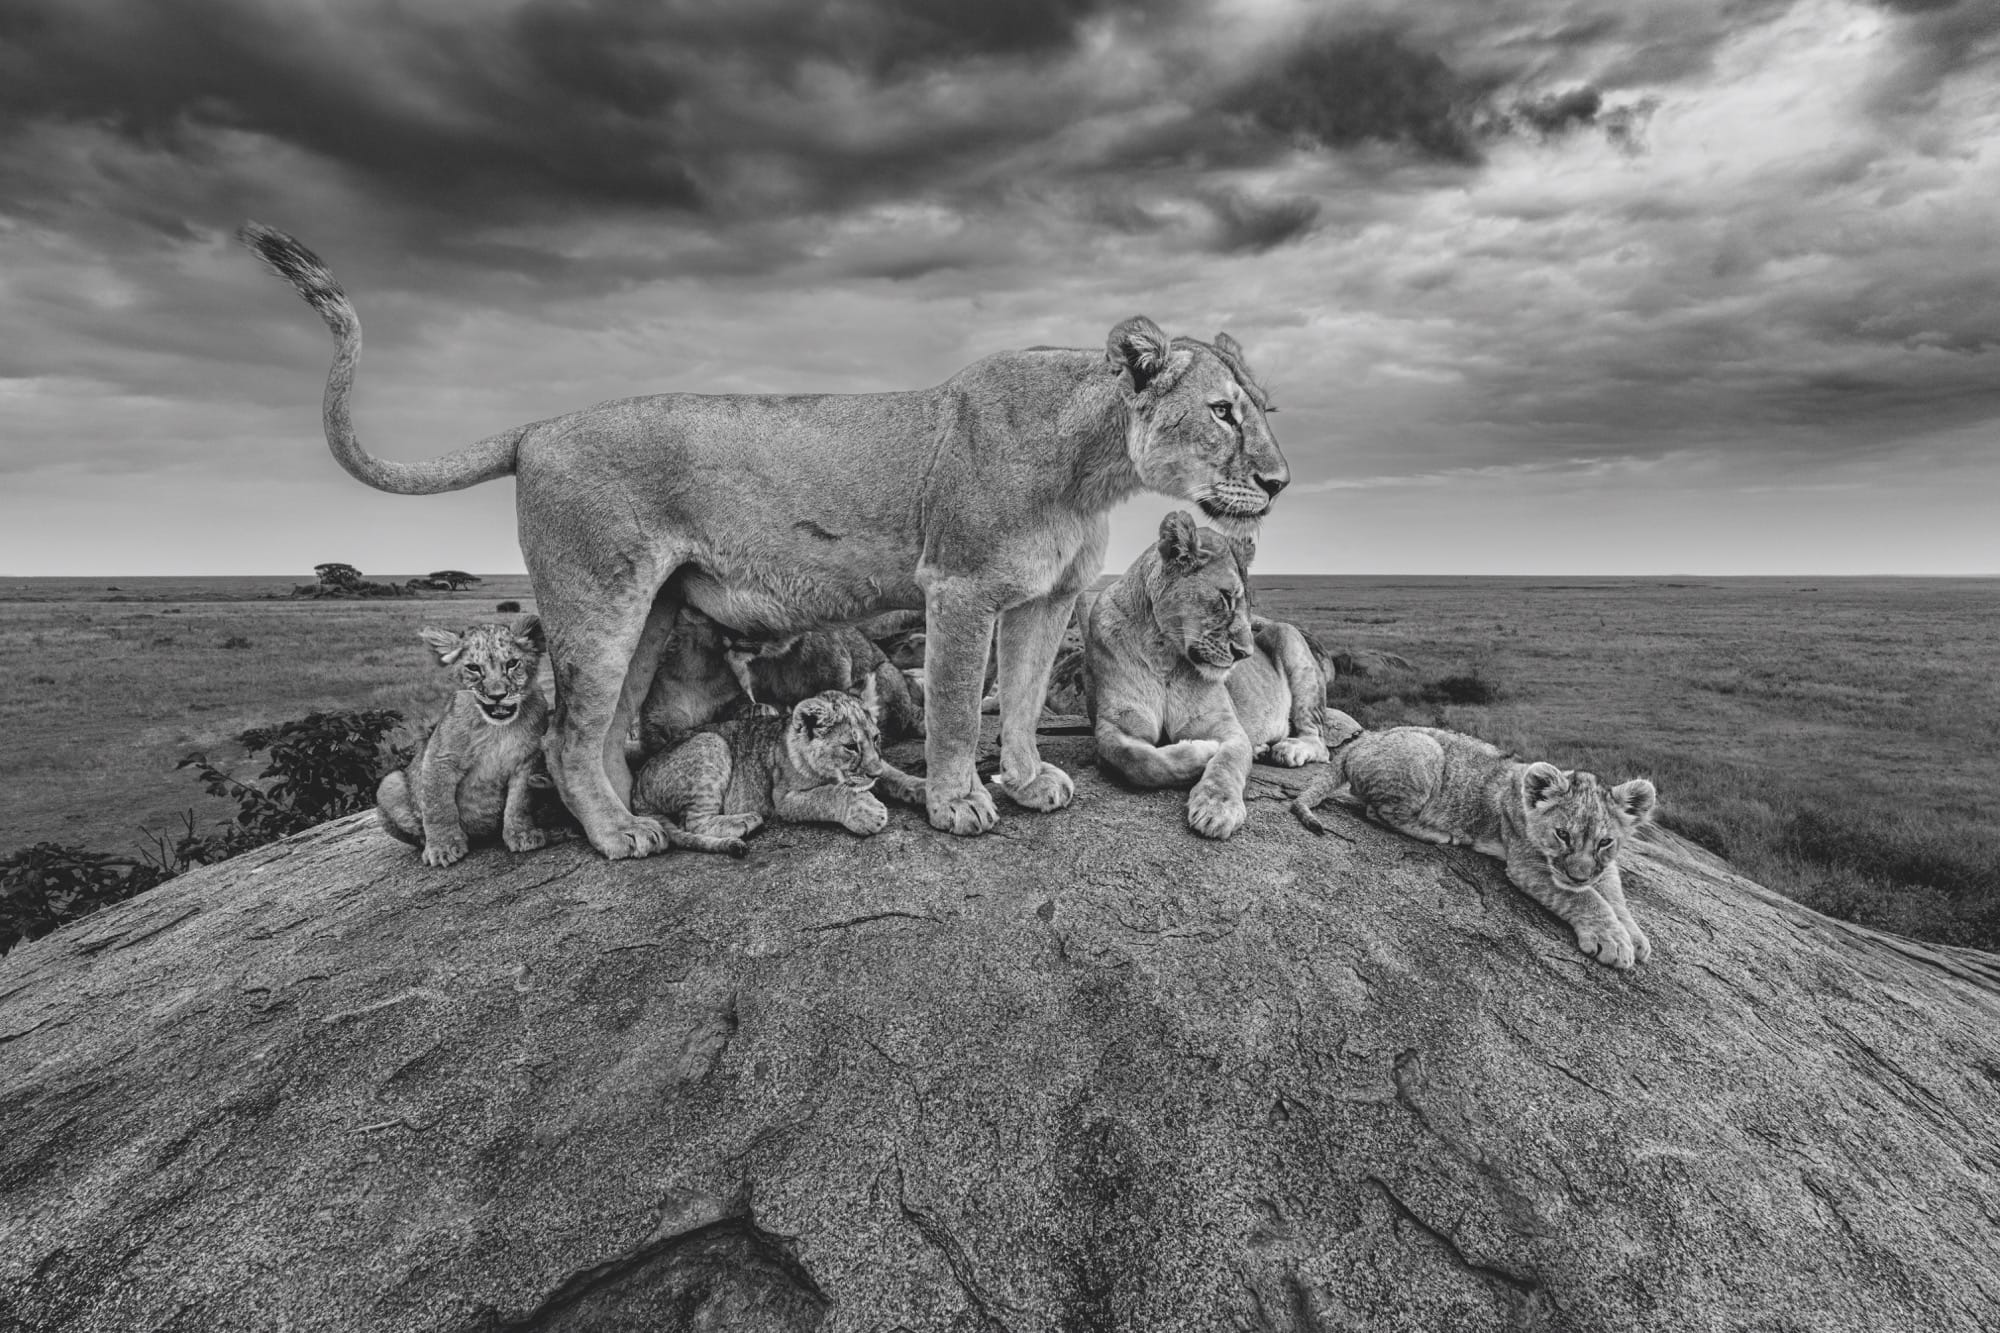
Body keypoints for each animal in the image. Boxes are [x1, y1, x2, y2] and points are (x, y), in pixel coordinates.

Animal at [242, 224, 1288, 858]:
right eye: (1224, 413)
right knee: (571, 736)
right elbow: (960, 708)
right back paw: (621, 837)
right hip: (598, 602)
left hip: (653, 612)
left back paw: (646, 815)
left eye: (1265, 409)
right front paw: (959, 803)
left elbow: (1026, 700)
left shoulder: (1046, 597)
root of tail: (536, 427)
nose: (1280, 483)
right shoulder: (957, 588)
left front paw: (1031, 781)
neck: (1091, 467)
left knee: (612, 733)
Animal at [1085, 511, 1331, 840]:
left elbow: (1227, 763)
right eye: (1225, 598)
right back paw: (1261, 748)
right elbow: (1136, 760)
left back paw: (1289, 749)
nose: (1245, 653)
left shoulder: (1227, 727)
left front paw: (1218, 808)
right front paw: (1202, 751)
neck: (1164, 653)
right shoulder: (1114, 725)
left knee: (1320, 742)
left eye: (1250, 605)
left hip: (1289, 637)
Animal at [1292, 713, 1659, 969]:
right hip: (1426, 753)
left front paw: (1634, 935)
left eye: (1605, 842)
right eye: (1562, 834)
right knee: (1377, 811)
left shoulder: (1603, 866)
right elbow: (1585, 898)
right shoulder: (1525, 863)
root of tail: (1358, 743)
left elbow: (1613, 892)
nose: (1578, 875)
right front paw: (1612, 941)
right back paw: (1440, 833)